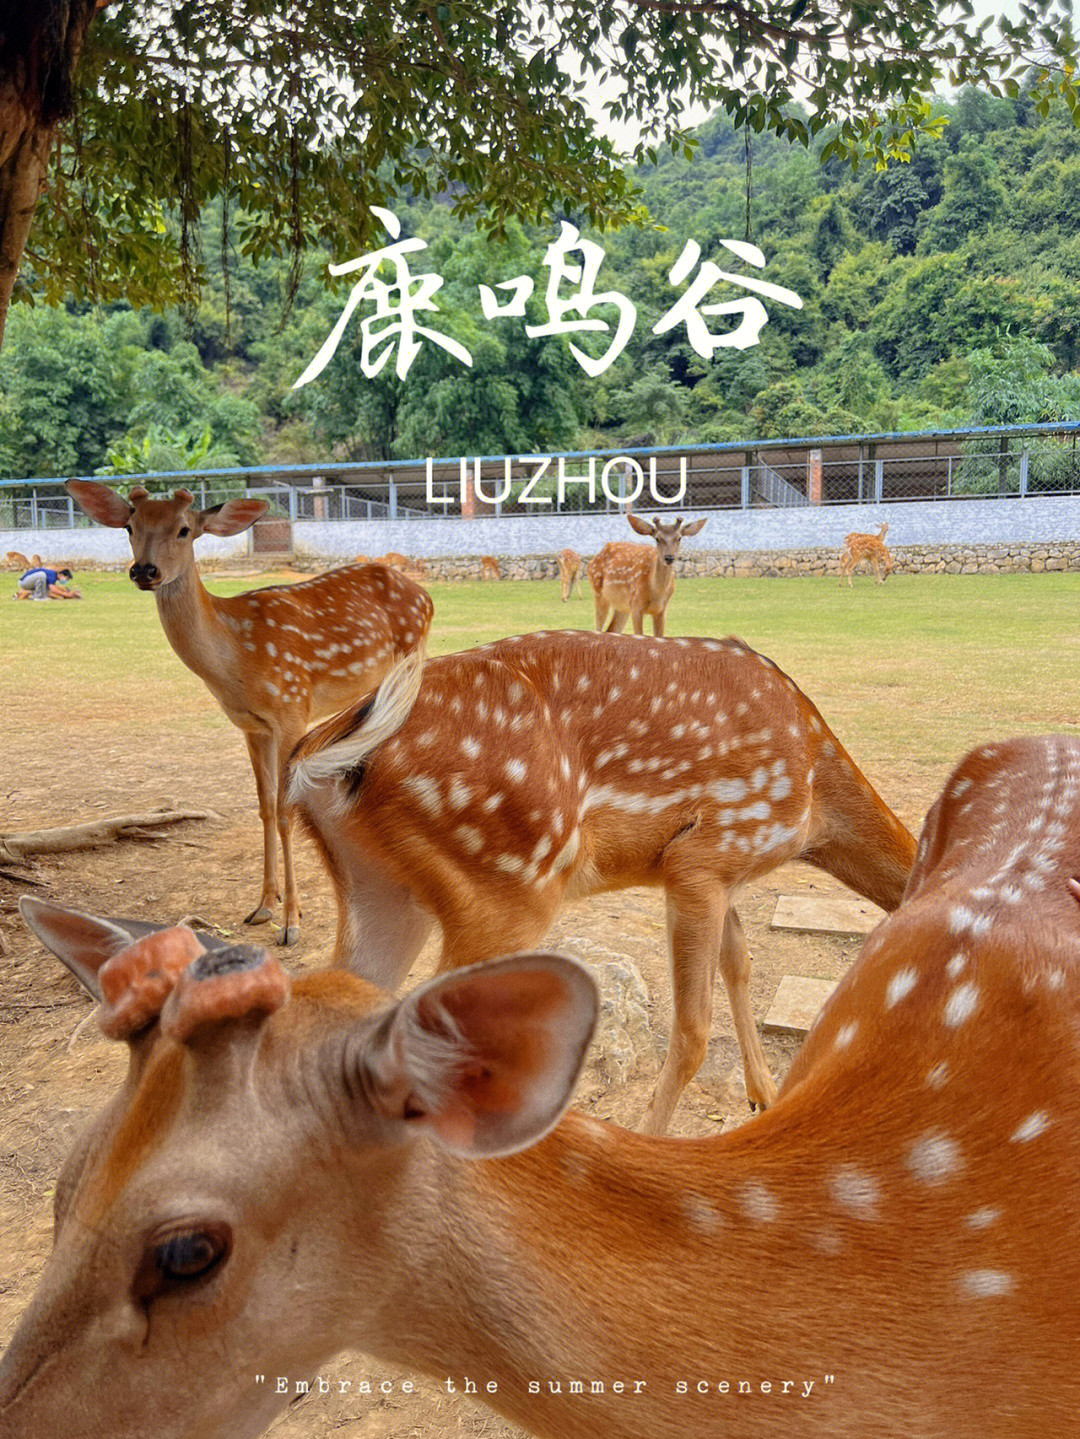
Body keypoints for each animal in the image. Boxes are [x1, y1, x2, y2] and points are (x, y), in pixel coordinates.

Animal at [64, 480, 431, 943]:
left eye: (184, 529)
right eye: (129, 526)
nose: (144, 571)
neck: (235, 660)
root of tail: (426, 595)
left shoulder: (291, 709)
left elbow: (286, 812)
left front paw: (291, 922)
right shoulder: (250, 726)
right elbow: (264, 806)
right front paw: (263, 906)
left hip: (412, 662)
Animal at [284, 630, 914, 1133]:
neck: (816, 805)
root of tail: (319, 756)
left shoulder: (726, 873)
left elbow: (741, 963)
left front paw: (766, 1096)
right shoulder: (706, 856)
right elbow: (692, 1031)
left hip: (383, 891)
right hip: (508, 883)